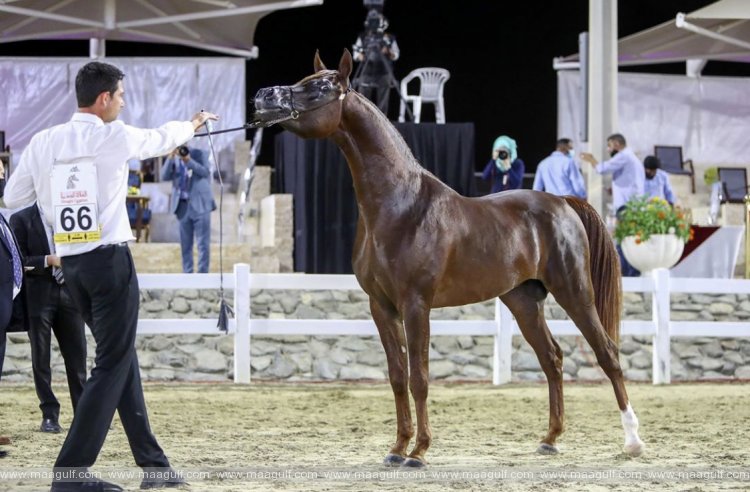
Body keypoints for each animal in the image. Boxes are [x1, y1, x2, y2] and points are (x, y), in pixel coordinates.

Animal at [251, 49, 645, 467]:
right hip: (523, 300)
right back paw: (550, 439)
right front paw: (397, 448)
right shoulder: (381, 306)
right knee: (552, 358)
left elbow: (420, 378)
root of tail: (563, 202)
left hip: (575, 292)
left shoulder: (415, 305)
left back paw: (633, 441)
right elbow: (397, 376)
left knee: (607, 353)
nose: (263, 97)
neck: (399, 205)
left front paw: (419, 451)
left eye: (321, 88)